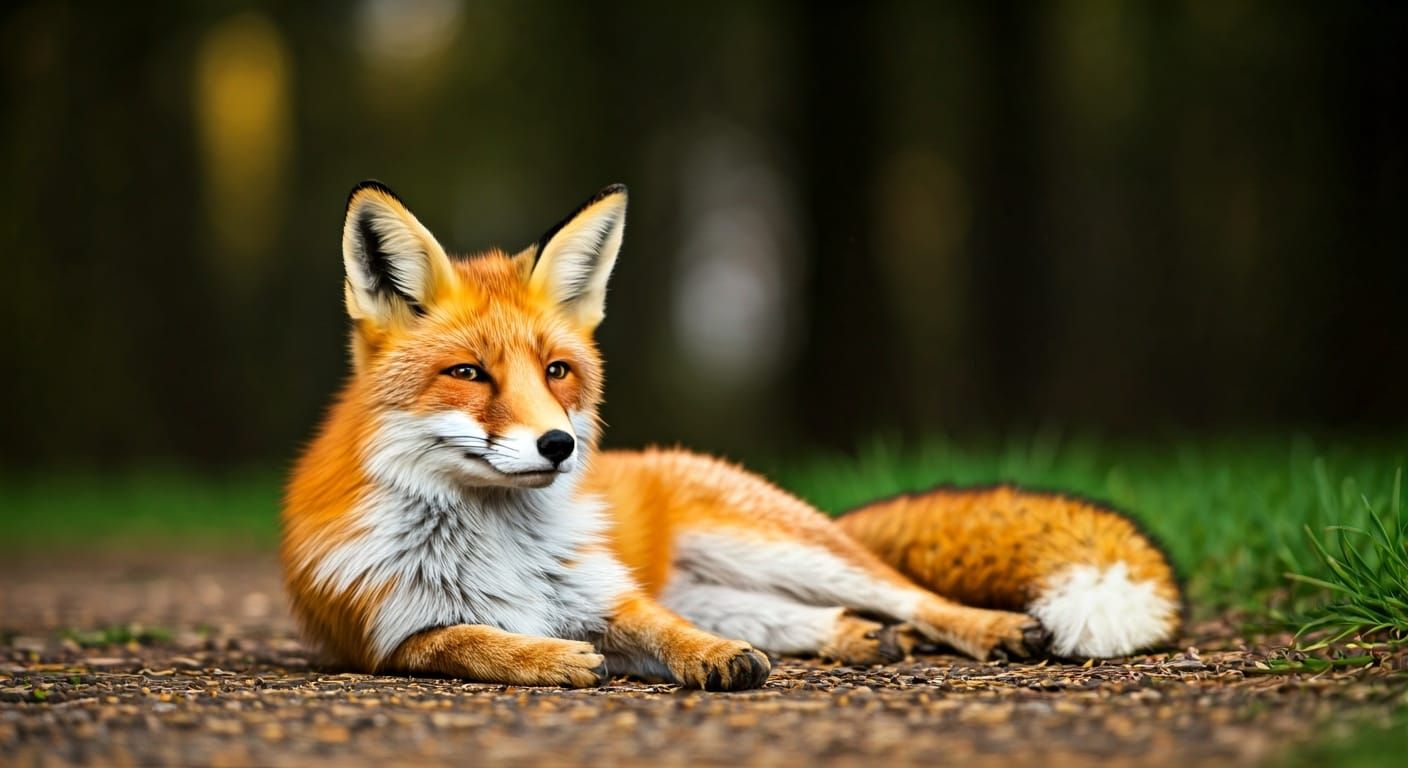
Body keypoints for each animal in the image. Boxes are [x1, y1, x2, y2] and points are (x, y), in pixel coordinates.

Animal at [281, 181, 1183, 691]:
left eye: (558, 371)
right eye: (469, 373)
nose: (559, 446)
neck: (495, 541)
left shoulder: (611, 596)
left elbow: (665, 633)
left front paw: (710, 658)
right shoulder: (382, 637)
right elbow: (470, 640)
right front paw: (546, 657)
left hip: (783, 547)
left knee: (905, 592)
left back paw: (982, 628)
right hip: (733, 577)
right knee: (798, 616)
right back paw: (852, 639)